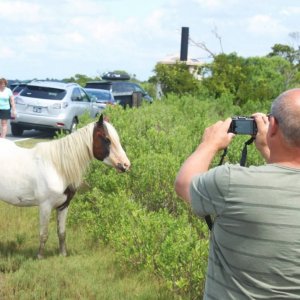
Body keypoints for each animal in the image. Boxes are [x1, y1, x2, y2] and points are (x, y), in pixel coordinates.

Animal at [0, 115, 131, 258]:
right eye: (106, 139)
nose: (126, 164)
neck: (57, 167)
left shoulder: (64, 206)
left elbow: (62, 233)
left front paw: (63, 255)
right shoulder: (45, 206)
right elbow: (44, 234)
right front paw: (39, 256)